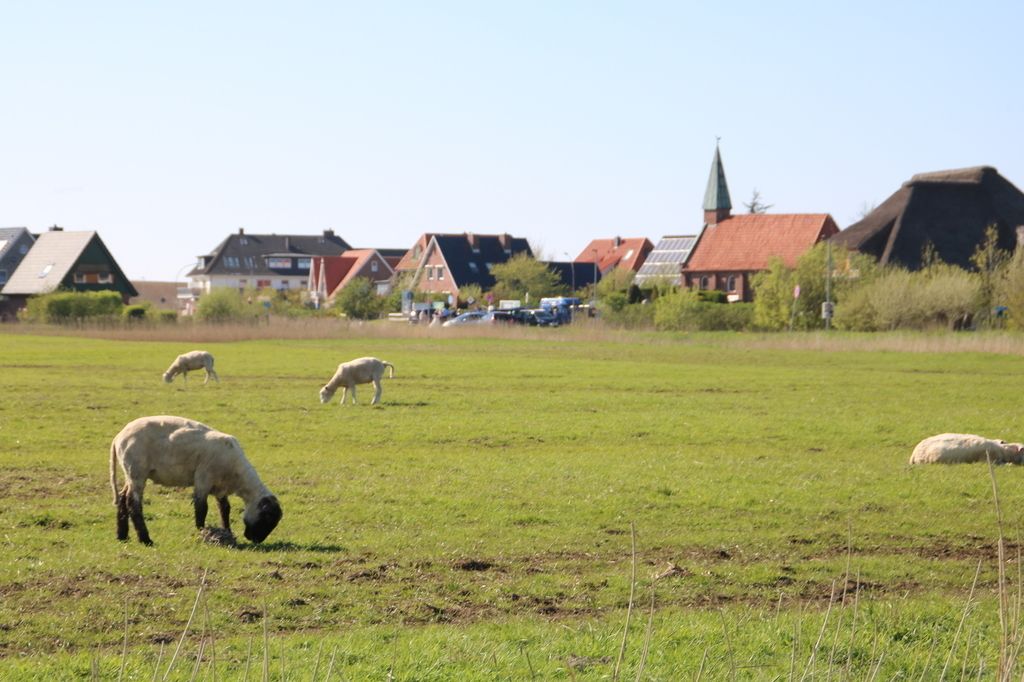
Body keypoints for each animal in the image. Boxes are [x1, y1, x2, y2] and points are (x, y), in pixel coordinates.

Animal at [110, 415, 282, 545]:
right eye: (267, 517)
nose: (256, 540)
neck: (237, 475)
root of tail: (118, 437)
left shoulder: (220, 487)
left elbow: (225, 509)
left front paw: (227, 532)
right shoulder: (203, 480)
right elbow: (201, 509)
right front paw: (203, 533)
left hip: (130, 473)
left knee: (123, 497)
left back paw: (122, 536)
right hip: (137, 471)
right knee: (133, 503)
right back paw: (145, 539)